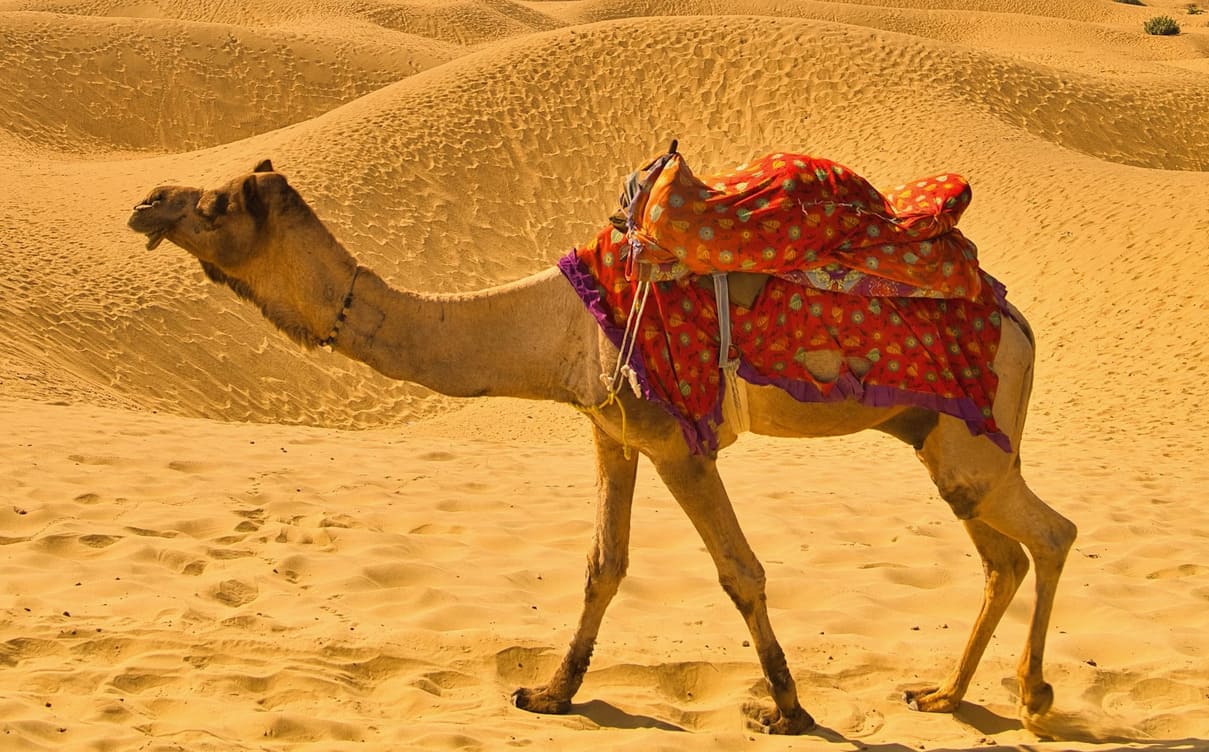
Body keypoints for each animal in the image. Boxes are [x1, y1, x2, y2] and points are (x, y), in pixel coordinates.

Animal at [128, 160, 1077, 735]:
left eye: (214, 205)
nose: (146, 201)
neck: (550, 329)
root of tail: (1020, 320)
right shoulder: (609, 432)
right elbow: (602, 566)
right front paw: (550, 693)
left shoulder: (676, 440)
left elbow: (740, 572)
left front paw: (788, 711)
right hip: (937, 435)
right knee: (1001, 553)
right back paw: (945, 694)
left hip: (974, 433)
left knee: (1051, 534)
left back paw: (1033, 702)